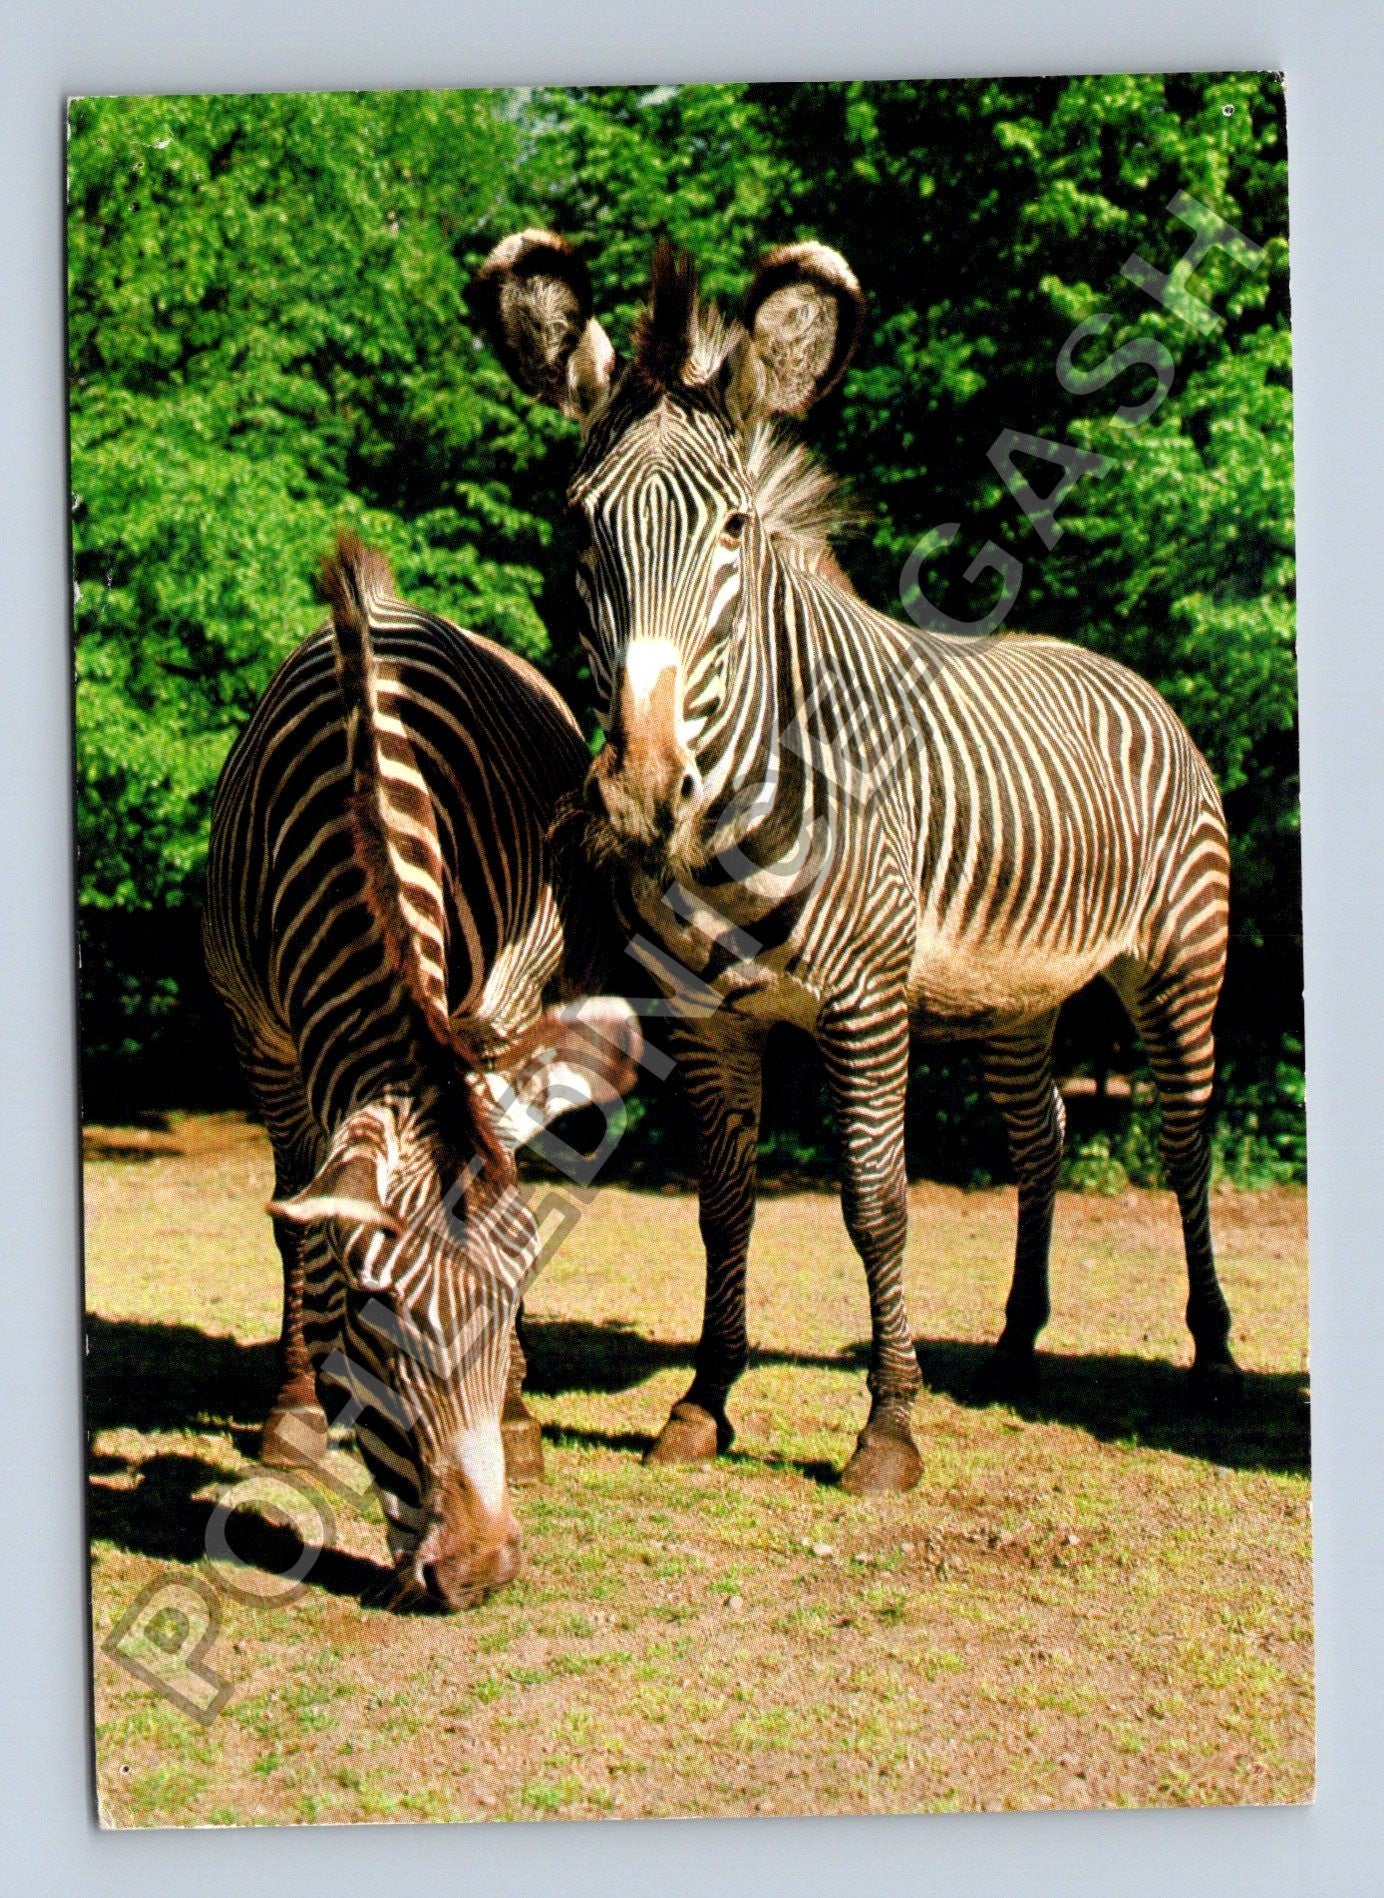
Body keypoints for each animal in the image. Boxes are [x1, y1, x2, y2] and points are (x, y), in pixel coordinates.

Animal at [203, 536, 641, 1606]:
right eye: (377, 1312)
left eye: (515, 1288)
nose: (480, 1571)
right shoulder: (264, 1045)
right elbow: (298, 1227)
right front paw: (297, 1408)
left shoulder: (504, 1009)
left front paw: (514, 1410)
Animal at [477, 231, 1239, 1495]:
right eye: (579, 527)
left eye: (733, 528)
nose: (640, 792)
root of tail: (1117, 669)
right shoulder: (711, 1018)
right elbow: (723, 1206)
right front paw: (703, 1402)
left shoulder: (867, 1005)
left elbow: (876, 1203)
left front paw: (887, 1427)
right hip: (1015, 994)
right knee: (1043, 1135)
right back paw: (1017, 1344)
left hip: (1180, 960)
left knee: (1185, 1133)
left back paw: (1215, 1357)